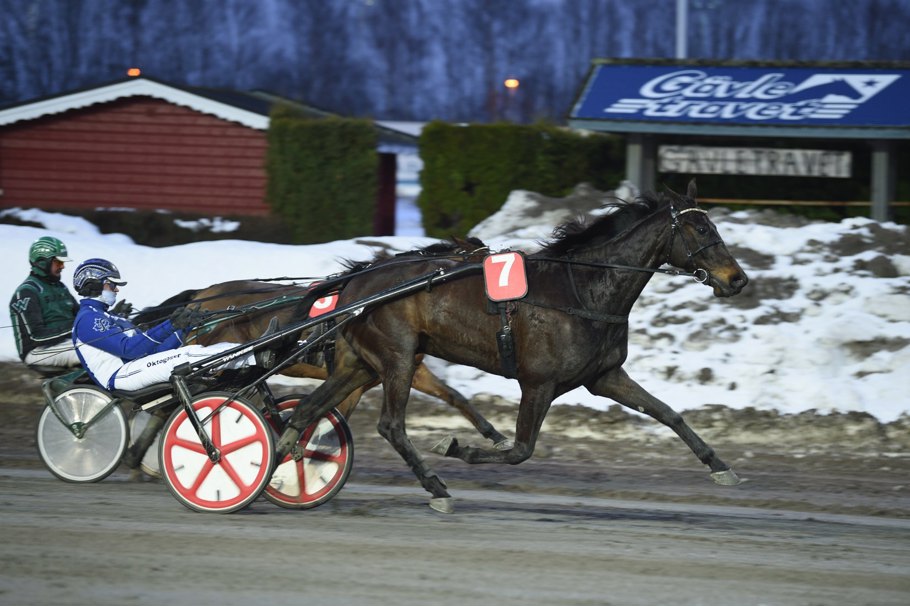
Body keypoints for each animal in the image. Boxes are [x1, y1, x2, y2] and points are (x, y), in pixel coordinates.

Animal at [274, 180, 749, 513]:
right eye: (699, 227)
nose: (737, 279)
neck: (583, 290)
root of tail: (357, 281)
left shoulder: (604, 376)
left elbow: (668, 413)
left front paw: (720, 466)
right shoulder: (538, 382)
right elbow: (521, 450)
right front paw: (457, 448)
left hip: (361, 363)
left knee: (307, 409)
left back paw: (280, 462)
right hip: (398, 358)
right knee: (390, 425)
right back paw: (436, 487)